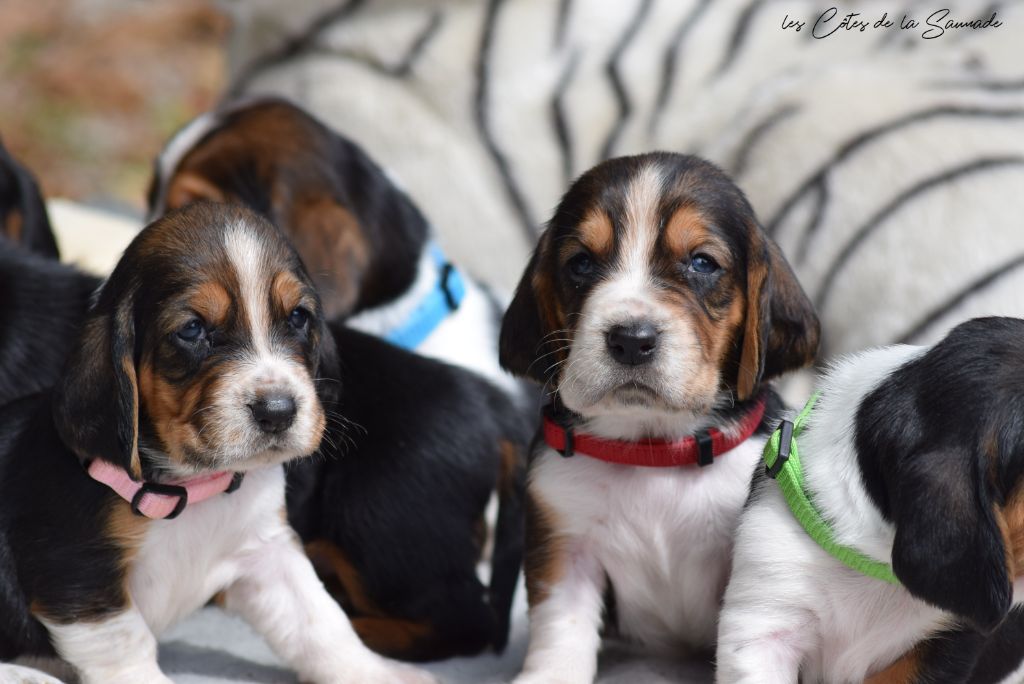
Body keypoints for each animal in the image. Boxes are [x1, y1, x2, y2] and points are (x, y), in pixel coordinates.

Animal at [0, 202, 434, 684]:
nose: (278, 411)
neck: (190, 490)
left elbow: (322, 624)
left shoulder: (268, 554)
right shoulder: (78, 579)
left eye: (298, 317)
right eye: (192, 330)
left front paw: (376, 673)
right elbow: (129, 649)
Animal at [498, 152, 819, 682]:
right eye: (580, 263)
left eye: (702, 262)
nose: (631, 339)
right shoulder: (565, 545)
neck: (653, 451)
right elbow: (561, 632)